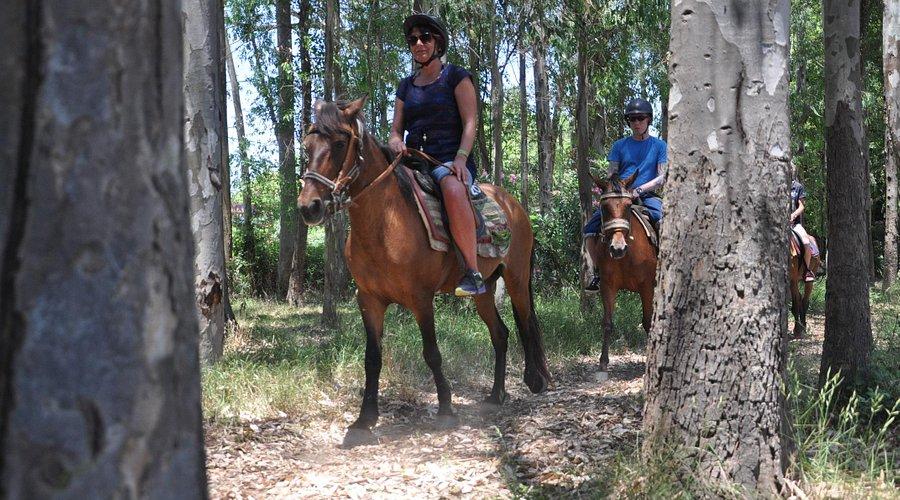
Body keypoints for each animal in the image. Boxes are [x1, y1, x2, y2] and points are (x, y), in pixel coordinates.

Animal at [297, 97, 552, 445]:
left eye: (338, 143)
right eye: (307, 146)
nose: (309, 207)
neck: (385, 224)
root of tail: (514, 205)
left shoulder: (421, 299)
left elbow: (432, 352)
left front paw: (445, 409)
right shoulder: (369, 300)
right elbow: (372, 358)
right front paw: (365, 419)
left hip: (516, 278)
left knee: (526, 324)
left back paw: (535, 381)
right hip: (484, 290)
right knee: (500, 334)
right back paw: (496, 394)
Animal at [587, 173, 658, 371]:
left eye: (627, 206)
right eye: (604, 207)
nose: (618, 249)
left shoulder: (646, 286)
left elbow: (647, 321)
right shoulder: (607, 285)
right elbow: (607, 322)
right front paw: (603, 362)